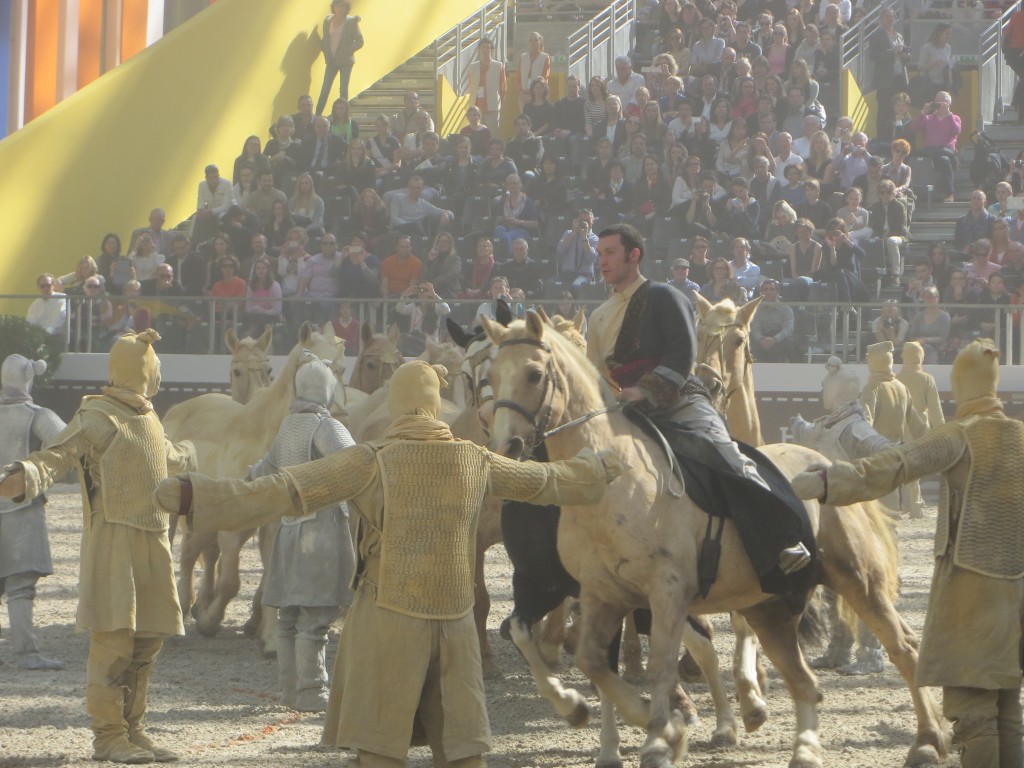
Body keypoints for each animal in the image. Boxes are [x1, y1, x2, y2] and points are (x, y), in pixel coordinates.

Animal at [483, 311, 946, 768]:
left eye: (534, 373)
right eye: (492, 374)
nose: (507, 445)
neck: (613, 481)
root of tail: (826, 465)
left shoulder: (666, 595)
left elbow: (661, 665)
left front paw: (660, 739)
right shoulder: (597, 594)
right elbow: (590, 662)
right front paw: (599, 715)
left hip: (858, 582)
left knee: (903, 648)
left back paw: (926, 740)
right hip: (770, 608)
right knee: (804, 681)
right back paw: (803, 749)